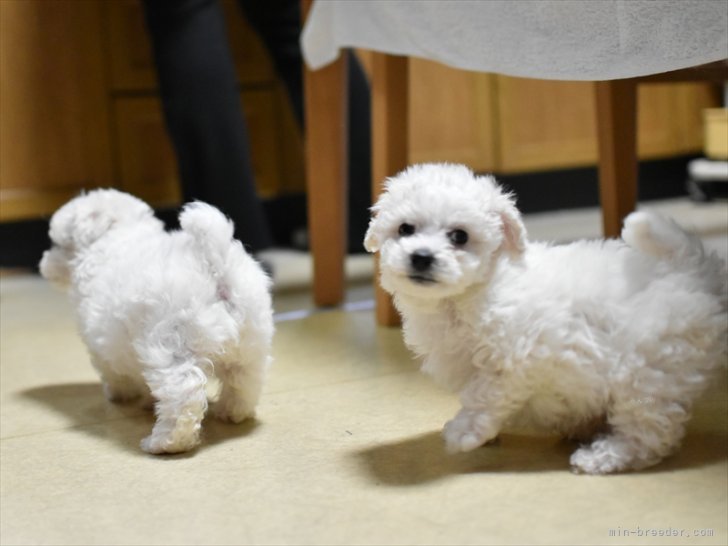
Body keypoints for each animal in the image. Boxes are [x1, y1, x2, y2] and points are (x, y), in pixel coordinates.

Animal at [42, 189, 276, 452]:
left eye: (56, 244)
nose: (43, 264)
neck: (118, 235)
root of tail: (215, 263)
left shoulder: (102, 341)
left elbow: (114, 372)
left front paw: (119, 394)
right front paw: (145, 400)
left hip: (172, 346)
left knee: (183, 395)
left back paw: (165, 442)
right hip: (252, 340)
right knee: (245, 380)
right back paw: (233, 412)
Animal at [366, 162, 724, 472]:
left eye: (459, 236)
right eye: (405, 229)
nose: (421, 257)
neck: (466, 296)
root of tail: (689, 269)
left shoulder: (513, 358)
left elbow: (484, 396)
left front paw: (464, 432)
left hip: (646, 373)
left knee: (649, 433)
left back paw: (603, 455)